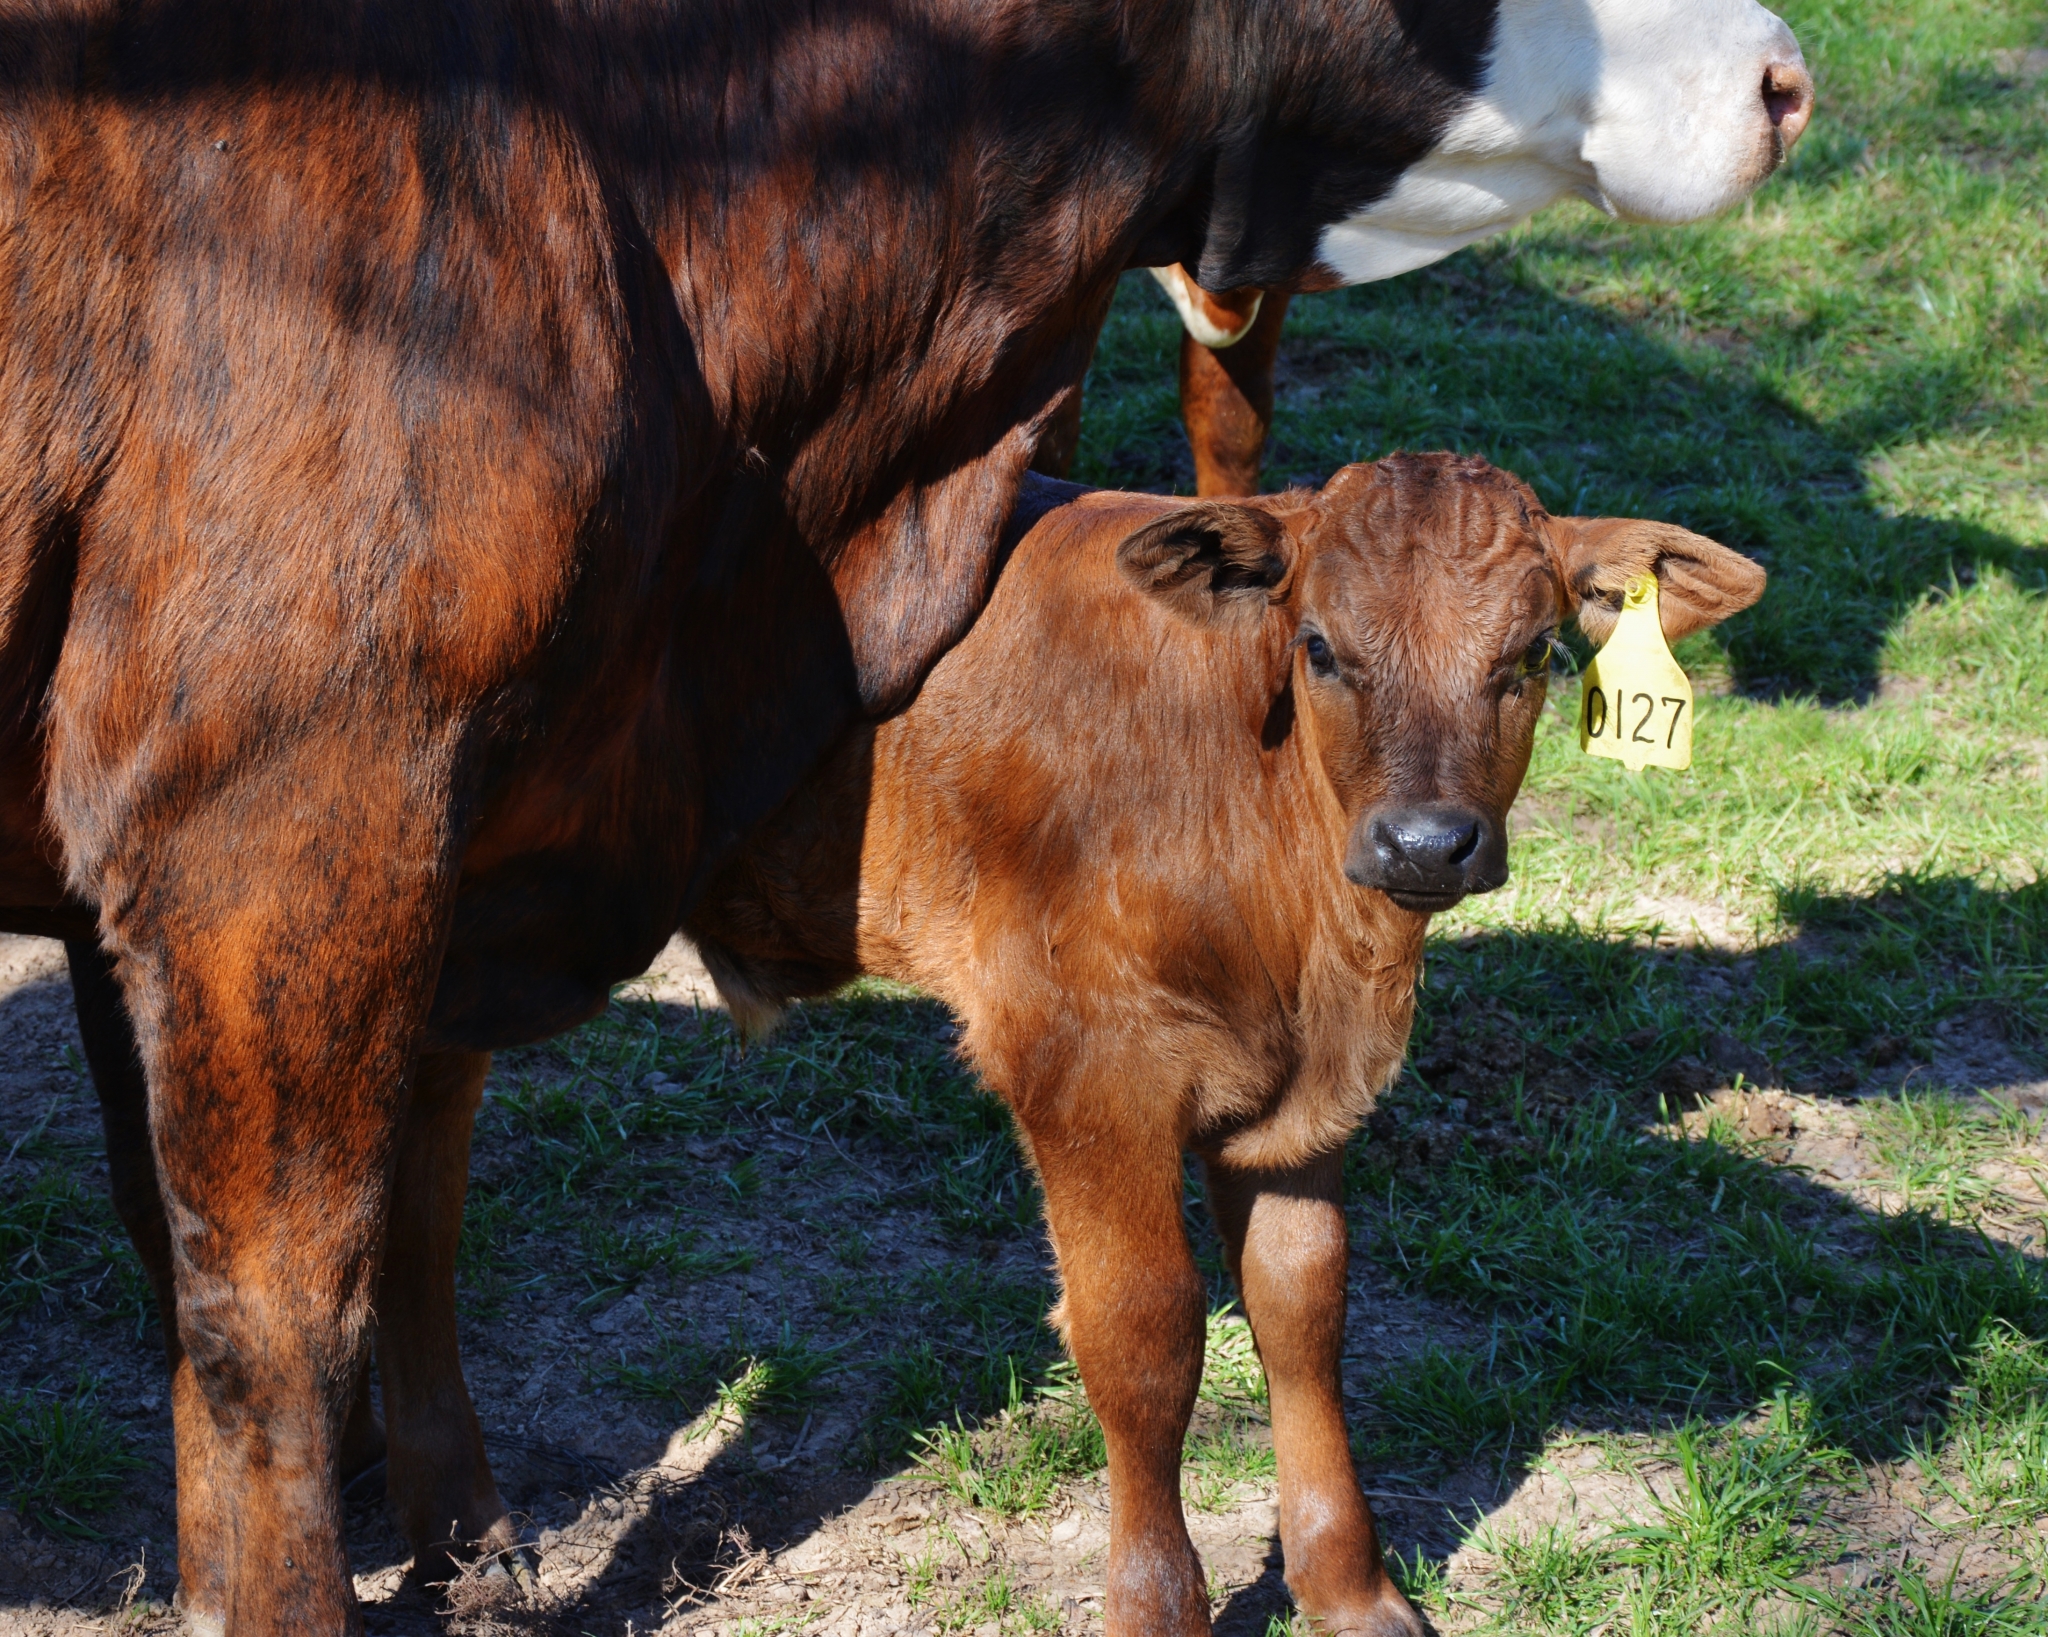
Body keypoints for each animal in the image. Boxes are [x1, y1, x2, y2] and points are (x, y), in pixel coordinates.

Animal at [681, 453, 1768, 1635]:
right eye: (1319, 646)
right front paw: (1159, 1606)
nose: (1424, 841)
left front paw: (1347, 1588)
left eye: (1534, 651)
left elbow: (1303, 1306)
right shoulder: (1079, 1063)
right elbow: (1143, 1336)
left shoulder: (1303, 1099)